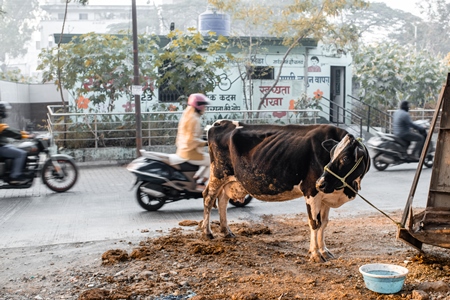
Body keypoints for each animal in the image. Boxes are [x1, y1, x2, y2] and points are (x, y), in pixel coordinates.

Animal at [202, 120, 370, 262]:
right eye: (332, 154)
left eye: (345, 158)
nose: (320, 183)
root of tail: (220, 123)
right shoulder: (311, 191)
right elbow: (314, 223)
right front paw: (315, 254)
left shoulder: (325, 196)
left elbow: (324, 224)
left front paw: (324, 251)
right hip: (218, 174)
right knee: (208, 199)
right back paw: (207, 232)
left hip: (229, 180)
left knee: (222, 201)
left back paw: (226, 231)